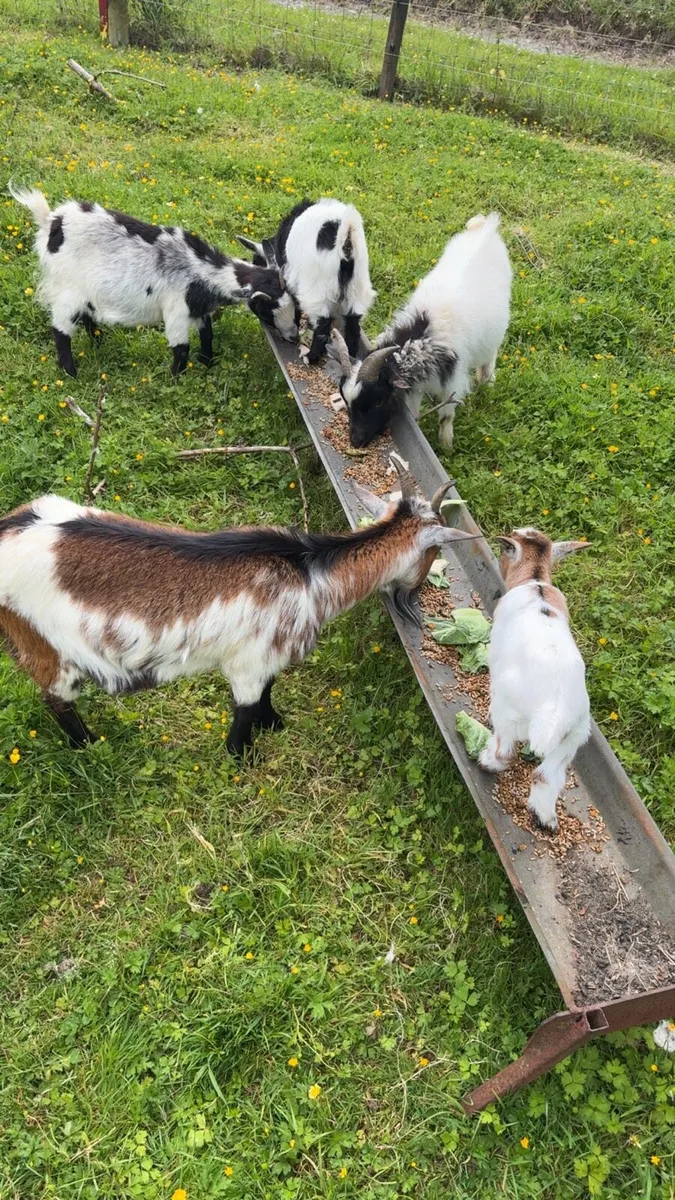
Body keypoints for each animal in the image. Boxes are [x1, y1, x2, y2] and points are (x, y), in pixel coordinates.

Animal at [0, 479, 478, 755]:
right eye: (436, 550)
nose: (416, 596)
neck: (310, 571)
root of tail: (8, 529)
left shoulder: (267, 658)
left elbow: (270, 688)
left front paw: (274, 723)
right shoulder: (247, 661)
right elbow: (246, 707)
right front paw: (242, 752)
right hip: (43, 644)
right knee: (55, 697)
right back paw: (88, 745)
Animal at [9, 184, 298, 377]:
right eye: (267, 308)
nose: (293, 337)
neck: (200, 270)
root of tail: (51, 221)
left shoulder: (199, 309)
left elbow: (207, 335)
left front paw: (206, 363)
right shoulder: (176, 312)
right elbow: (181, 349)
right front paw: (175, 379)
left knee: (87, 316)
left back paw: (99, 343)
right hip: (67, 289)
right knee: (61, 329)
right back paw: (70, 372)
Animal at [237, 198, 375, 364]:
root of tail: (346, 242)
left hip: (317, 291)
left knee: (322, 326)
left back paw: (311, 357)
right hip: (357, 289)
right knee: (353, 326)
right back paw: (350, 357)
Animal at [331, 213, 512, 449]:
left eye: (378, 400)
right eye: (346, 401)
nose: (355, 441)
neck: (422, 334)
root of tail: (486, 227)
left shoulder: (453, 380)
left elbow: (446, 415)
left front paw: (446, 445)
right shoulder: (414, 387)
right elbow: (414, 413)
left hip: (495, 331)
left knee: (489, 357)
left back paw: (487, 383)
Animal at [478, 528, 592, 832]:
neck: (536, 582)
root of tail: (553, 712)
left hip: (509, 710)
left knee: (506, 751)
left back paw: (487, 761)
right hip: (573, 738)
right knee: (546, 776)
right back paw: (545, 818)